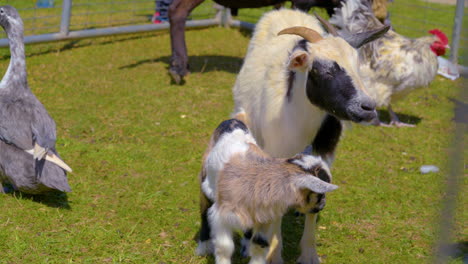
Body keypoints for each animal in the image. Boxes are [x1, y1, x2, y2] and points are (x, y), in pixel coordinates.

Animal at [197, 116, 336, 264]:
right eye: (320, 193)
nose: (321, 207)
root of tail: (232, 121)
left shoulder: (264, 218)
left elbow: (260, 244)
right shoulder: (222, 215)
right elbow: (225, 247)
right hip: (205, 183)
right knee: (204, 213)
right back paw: (203, 247)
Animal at [229, 8, 390, 264]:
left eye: (358, 67)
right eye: (323, 69)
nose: (367, 108)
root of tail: (287, 10)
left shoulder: (324, 156)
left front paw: (309, 254)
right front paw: (274, 255)